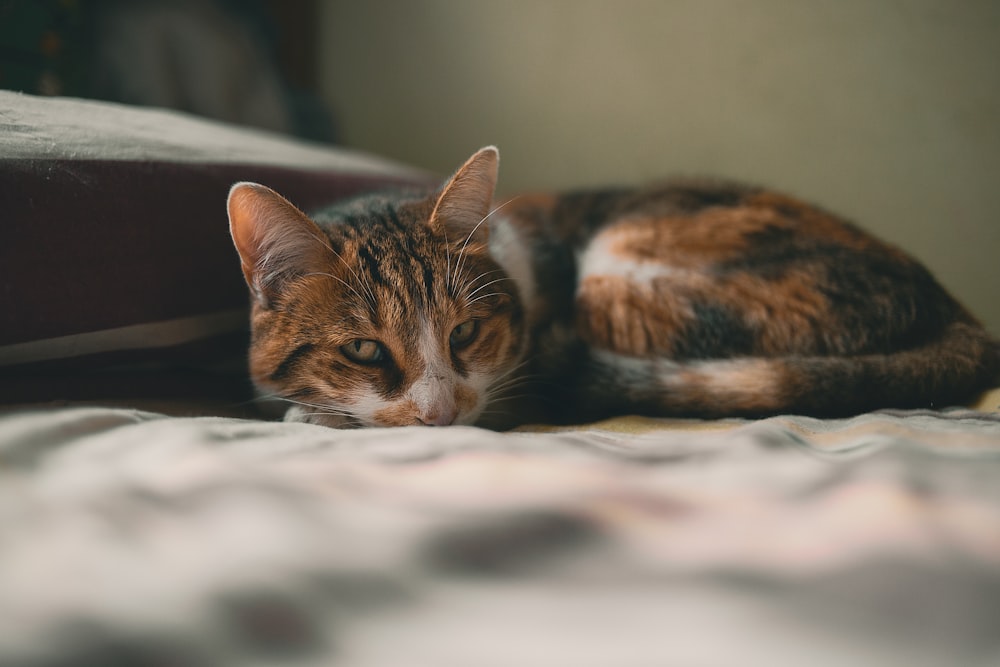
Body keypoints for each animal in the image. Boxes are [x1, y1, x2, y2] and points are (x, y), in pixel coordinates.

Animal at [227, 146, 1000, 430]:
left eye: (465, 332)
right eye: (363, 348)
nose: (442, 414)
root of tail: (951, 309)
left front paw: (313, 417)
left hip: (620, 269)